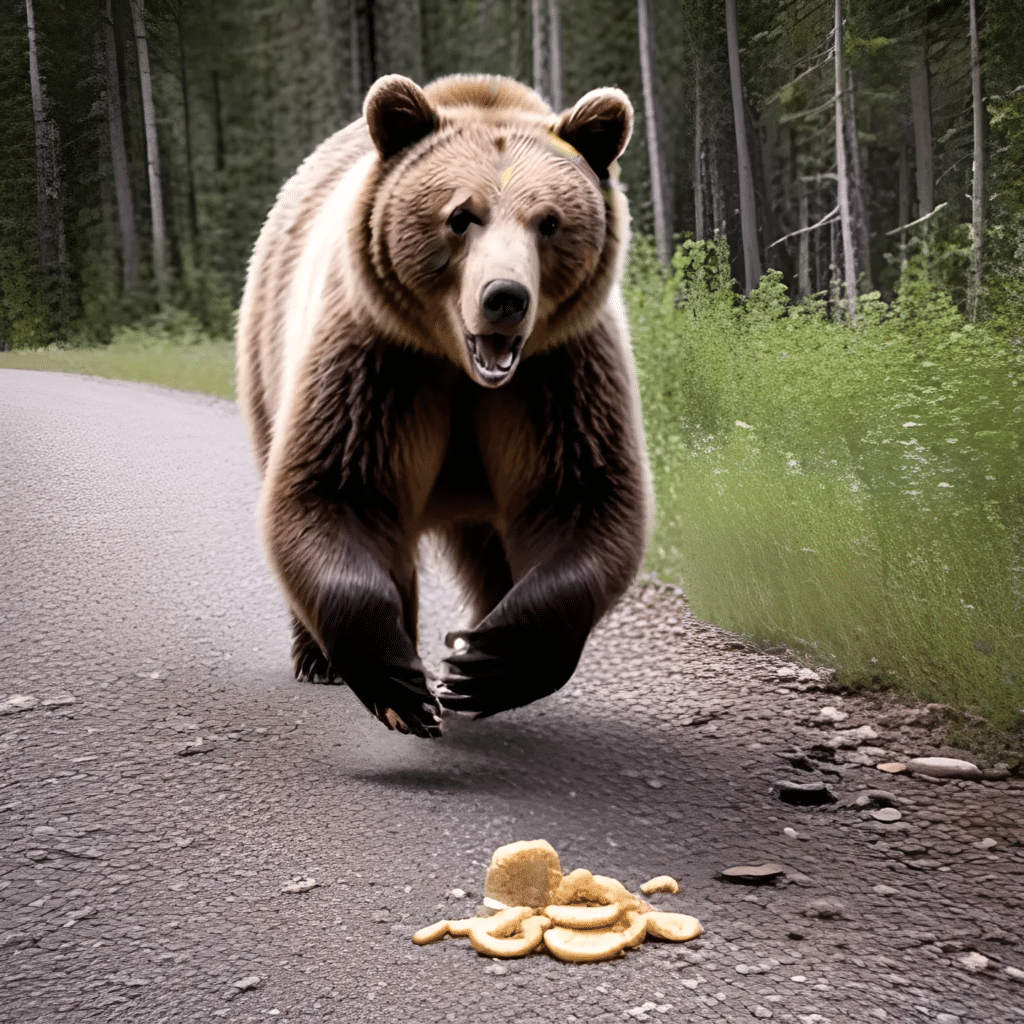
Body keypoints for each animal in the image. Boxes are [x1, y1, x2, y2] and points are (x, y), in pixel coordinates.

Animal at [236, 73, 652, 739]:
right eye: (461, 216)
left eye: (549, 222)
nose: (505, 297)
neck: (461, 366)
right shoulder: (379, 363)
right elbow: (336, 490)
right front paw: (397, 679)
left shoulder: (559, 377)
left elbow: (580, 498)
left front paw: (487, 665)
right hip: (267, 352)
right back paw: (321, 659)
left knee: (491, 551)